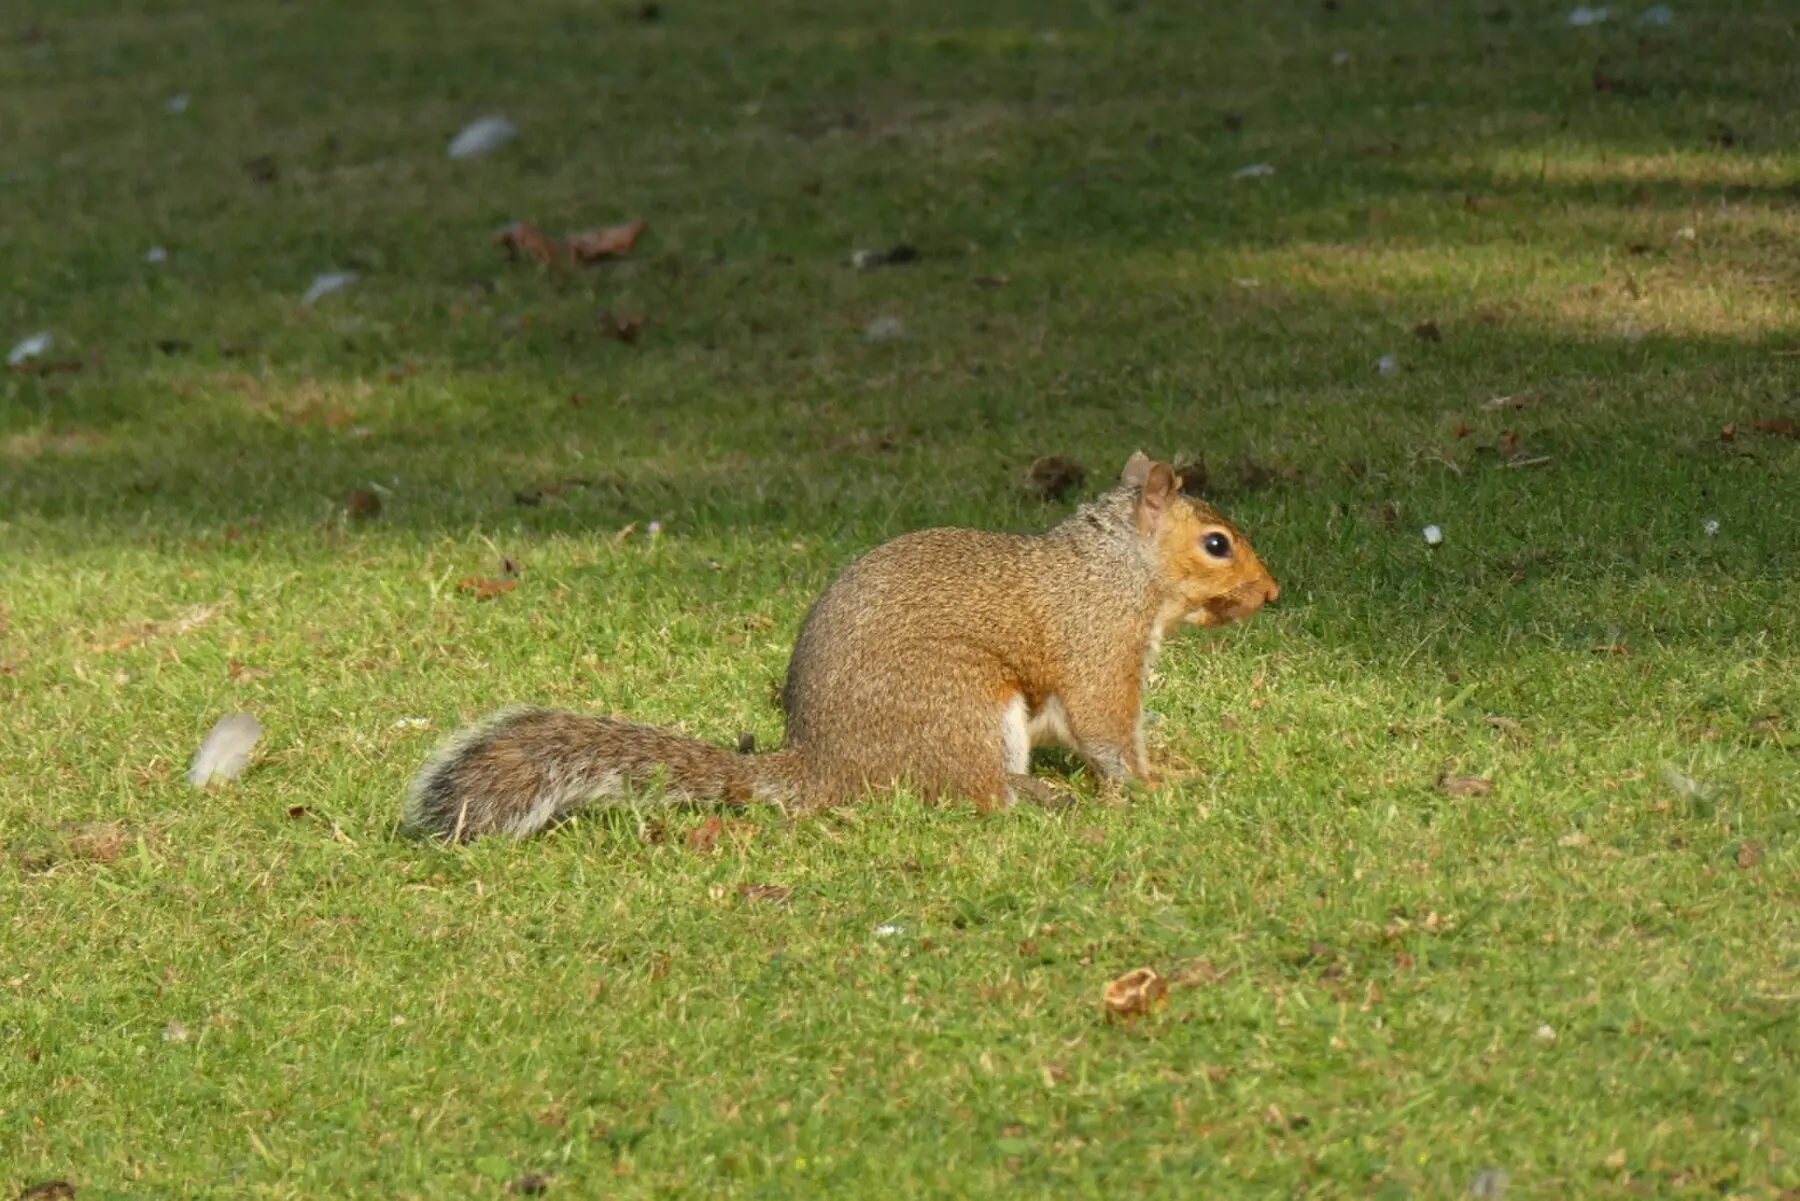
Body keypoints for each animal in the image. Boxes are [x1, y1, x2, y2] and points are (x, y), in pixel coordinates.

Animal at [404, 451, 1279, 842]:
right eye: (1216, 544)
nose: (1271, 594)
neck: (1120, 568)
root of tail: (822, 764)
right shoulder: (1100, 644)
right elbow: (1107, 730)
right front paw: (1155, 785)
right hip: (960, 703)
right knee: (972, 792)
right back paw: (1040, 798)